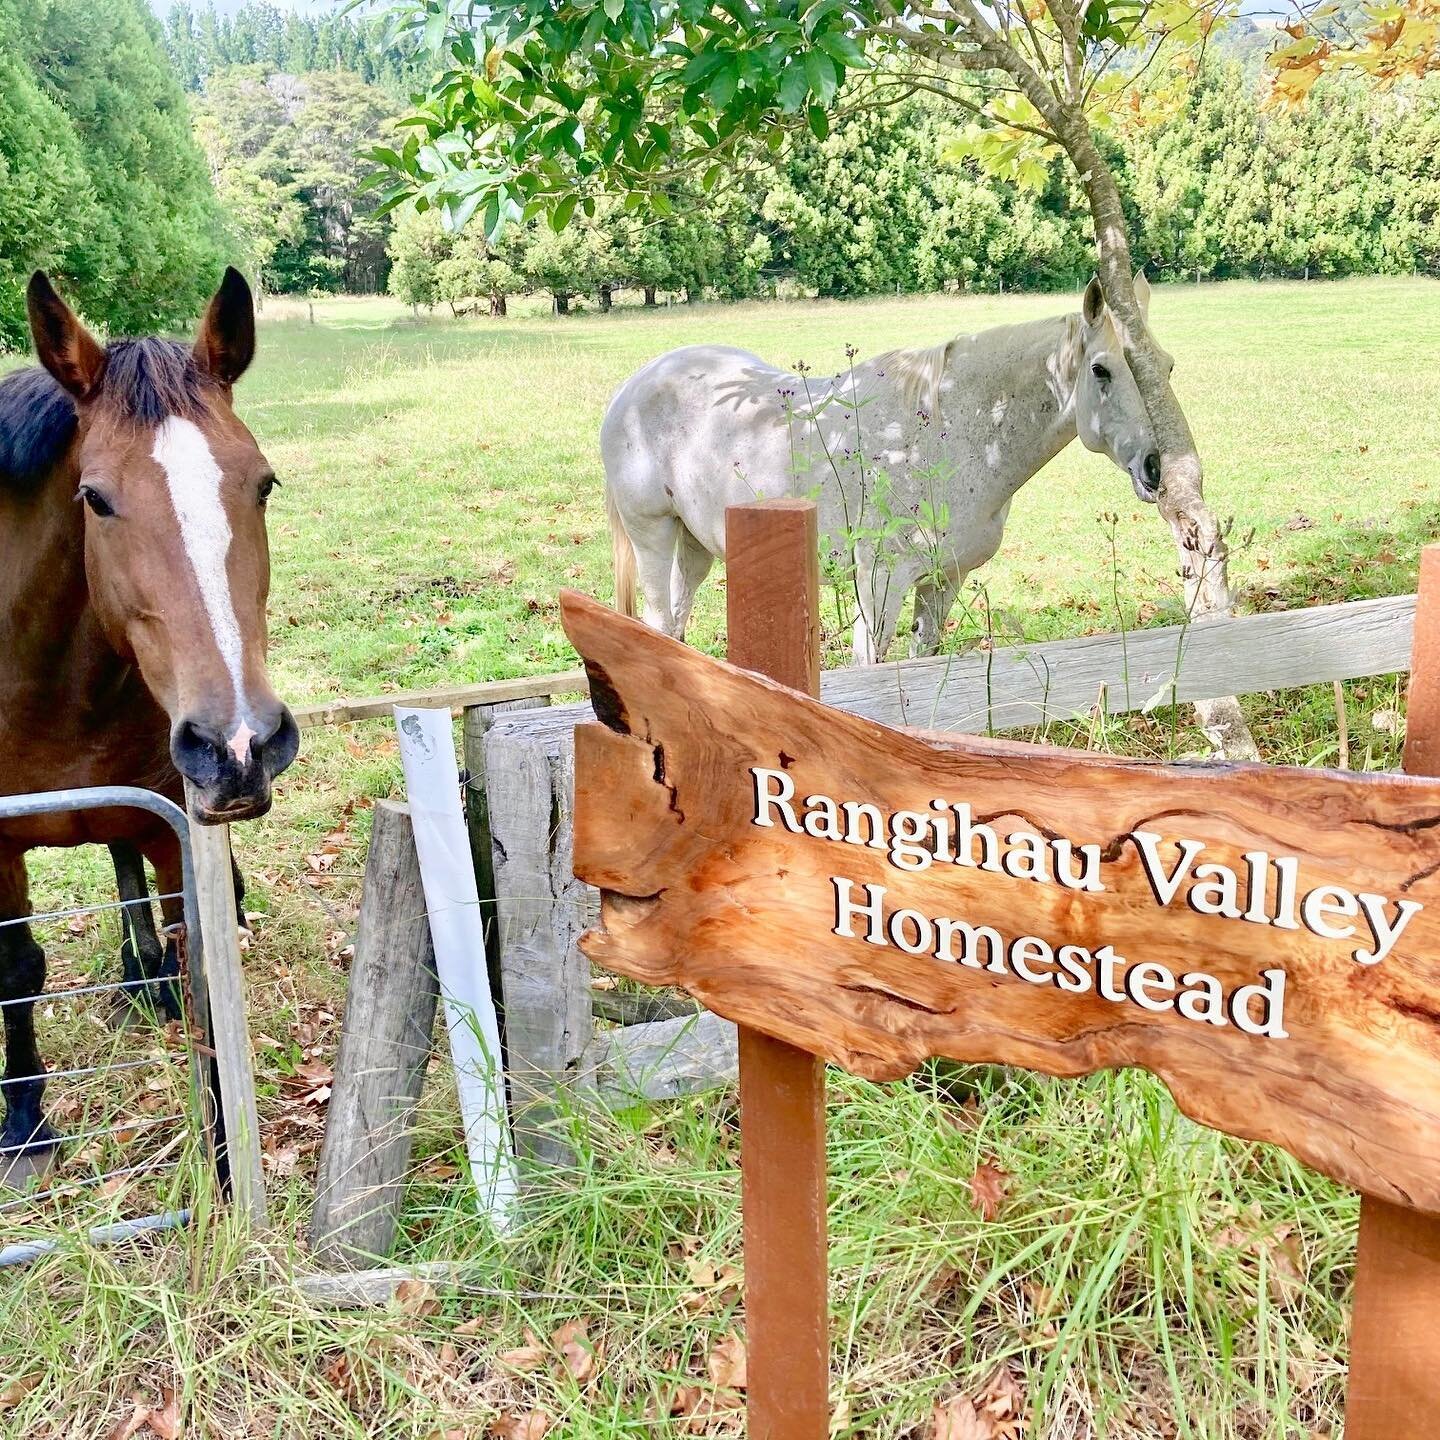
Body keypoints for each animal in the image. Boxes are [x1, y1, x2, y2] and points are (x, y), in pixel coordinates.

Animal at [0, 270, 296, 1180]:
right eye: (94, 499)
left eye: (263, 483)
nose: (241, 743)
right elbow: (17, 968)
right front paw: (24, 1118)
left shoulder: (178, 827)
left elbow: (201, 968)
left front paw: (225, 1159)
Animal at [601, 272, 1175, 665]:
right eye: (1100, 370)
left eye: (1165, 367)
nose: (1157, 468)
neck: (945, 438)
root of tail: (635, 385)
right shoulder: (878, 583)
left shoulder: (945, 580)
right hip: (652, 535)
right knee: (658, 620)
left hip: (696, 542)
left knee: (677, 621)